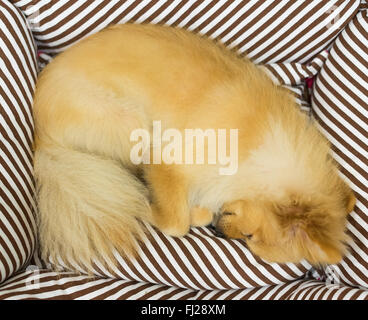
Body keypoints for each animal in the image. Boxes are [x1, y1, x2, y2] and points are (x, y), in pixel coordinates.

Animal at [33, 23, 356, 268]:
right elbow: (177, 224)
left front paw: (199, 210)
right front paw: (152, 208)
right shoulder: (168, 159)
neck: (263, 160)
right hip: (132, 125)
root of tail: (42, 139)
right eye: (250, 237)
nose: (221, 233)